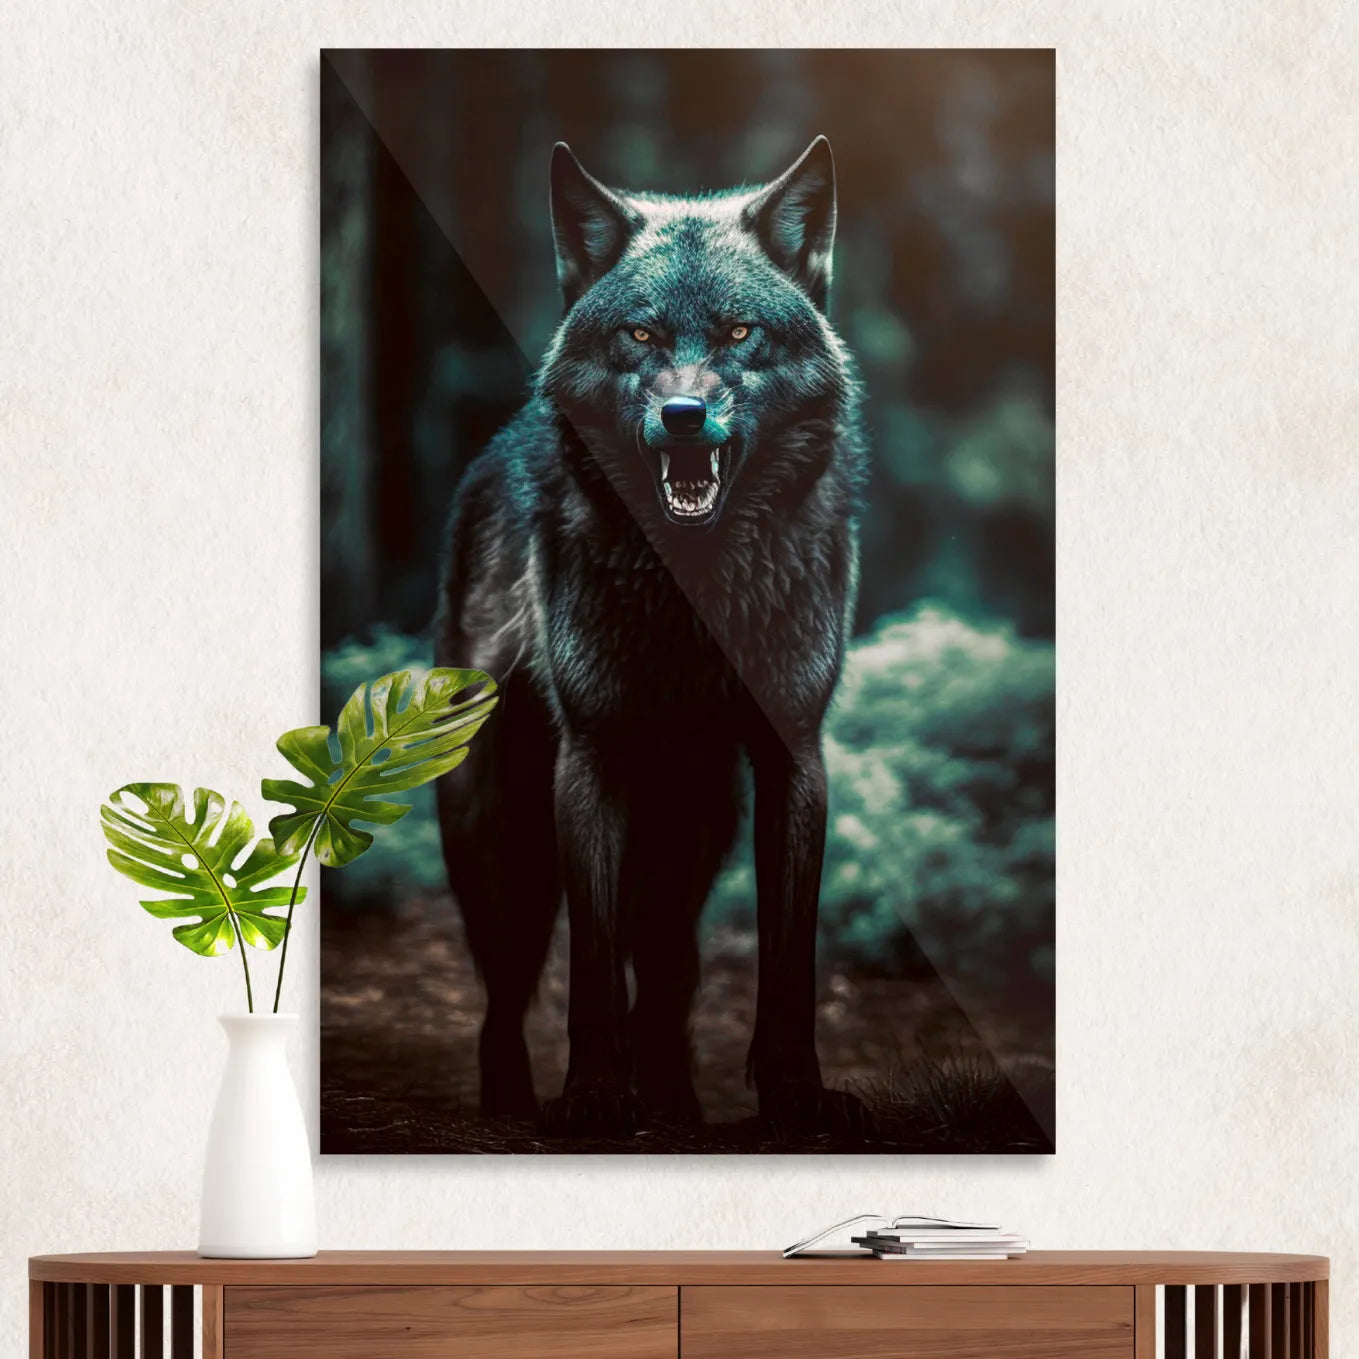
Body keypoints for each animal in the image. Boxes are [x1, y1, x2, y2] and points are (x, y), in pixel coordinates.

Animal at [435, 136, 868, 1137]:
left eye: (740, 334)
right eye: (638, 337)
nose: (682, 415)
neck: (694, 593)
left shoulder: (792, 754)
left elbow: (785, 960)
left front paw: (794, 1092)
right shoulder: (590, 758)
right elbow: (593, 967)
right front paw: (594, 1094)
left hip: (695, 829)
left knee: (667, 976)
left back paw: (674, 1104)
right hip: (502, 836)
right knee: (505, 998)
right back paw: (513, 1106)